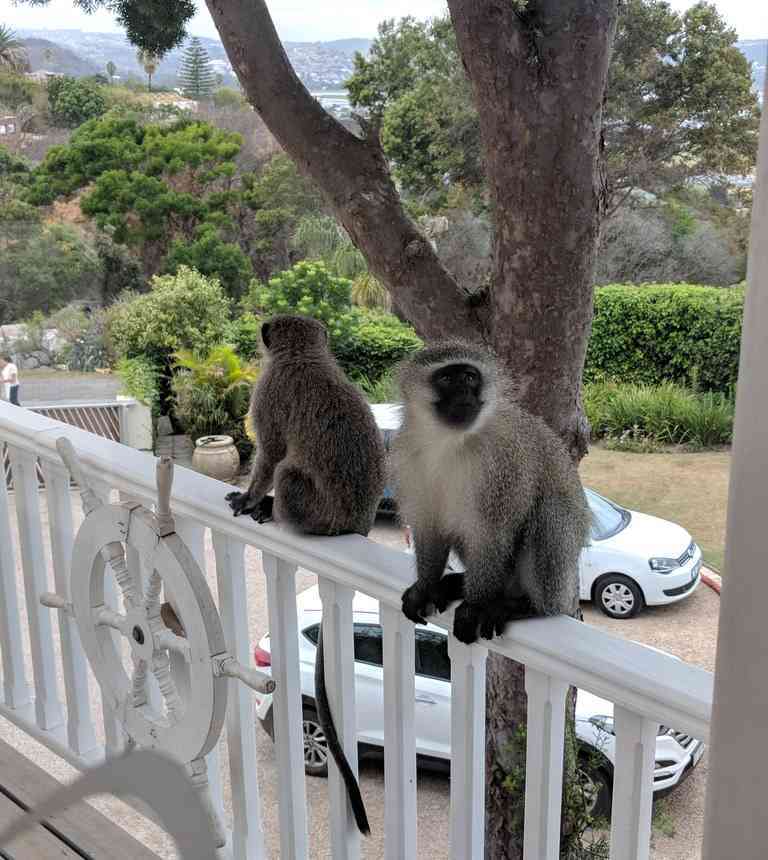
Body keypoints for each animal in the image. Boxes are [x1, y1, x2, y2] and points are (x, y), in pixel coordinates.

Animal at [225, 314, 385, 836]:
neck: (303, 356)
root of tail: (355, 524)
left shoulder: (267, 392)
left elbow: (271, 452)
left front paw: (249, 497)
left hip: (313, 508)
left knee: (287, 472)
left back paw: (271, 509)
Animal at [392, 341, 591, 645]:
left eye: (469, 377)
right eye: (447, 378)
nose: (464, 394)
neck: (452, 441)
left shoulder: (503, 462)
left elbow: (491, 534)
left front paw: (474, 606)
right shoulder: (409, 456)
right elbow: (430, 527)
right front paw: (425, 586)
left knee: (550, 512)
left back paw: (529, 606)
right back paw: (459, 585)